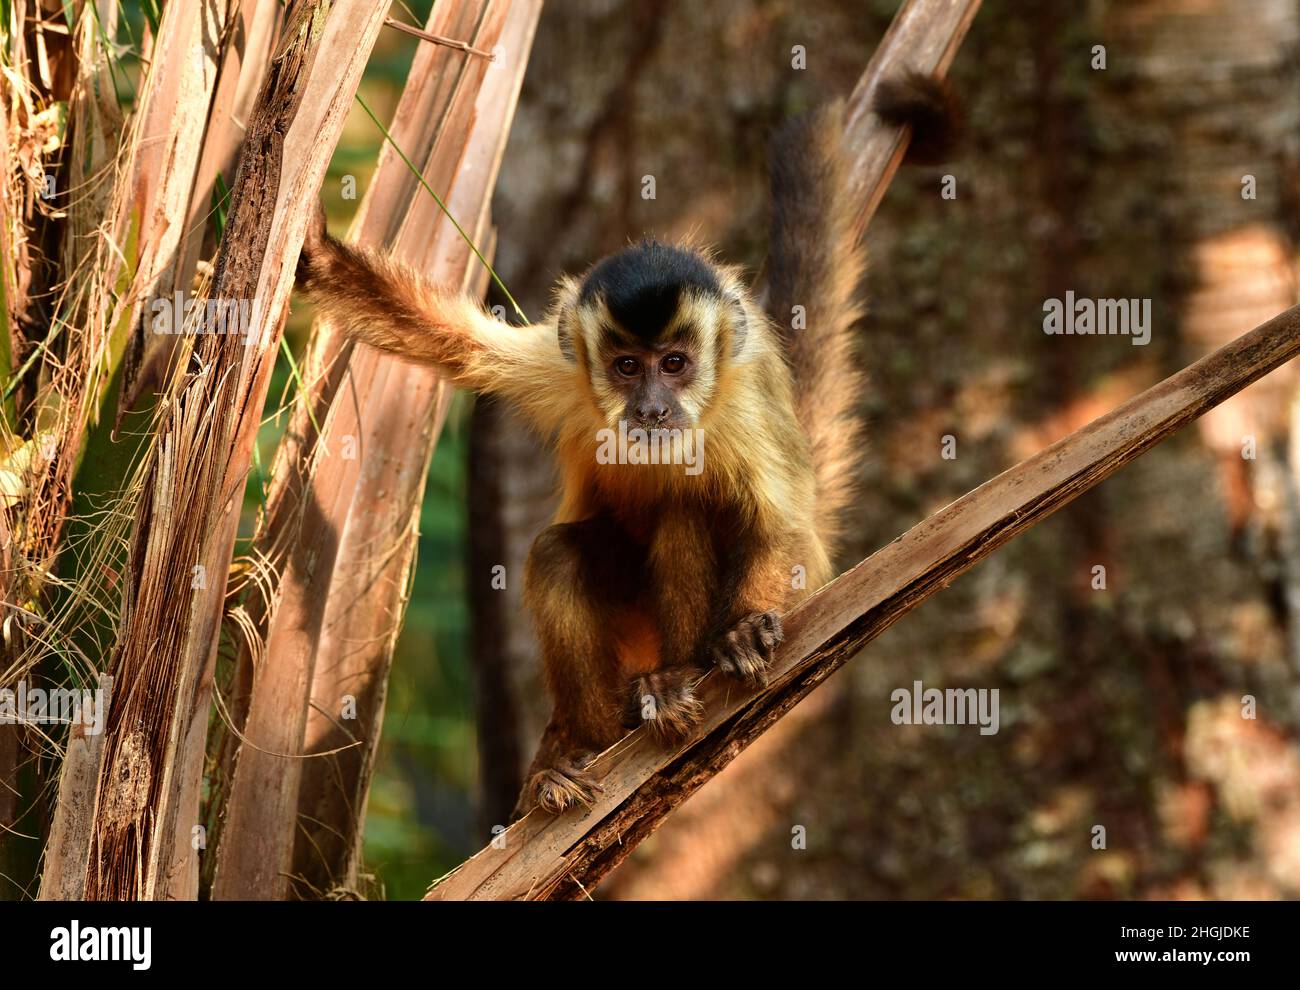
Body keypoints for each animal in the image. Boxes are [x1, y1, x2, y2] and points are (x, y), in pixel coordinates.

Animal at [299, 67, 961, 810]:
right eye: (625, 366)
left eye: (674, 363)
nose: (649, 408)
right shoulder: (562, 371)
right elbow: (455, 344)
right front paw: (313, 250)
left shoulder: (745, 409)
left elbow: (785, 532)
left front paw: (746, 627)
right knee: (560, 555)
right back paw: (586, 744)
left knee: (686, 515)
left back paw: (676, 677)